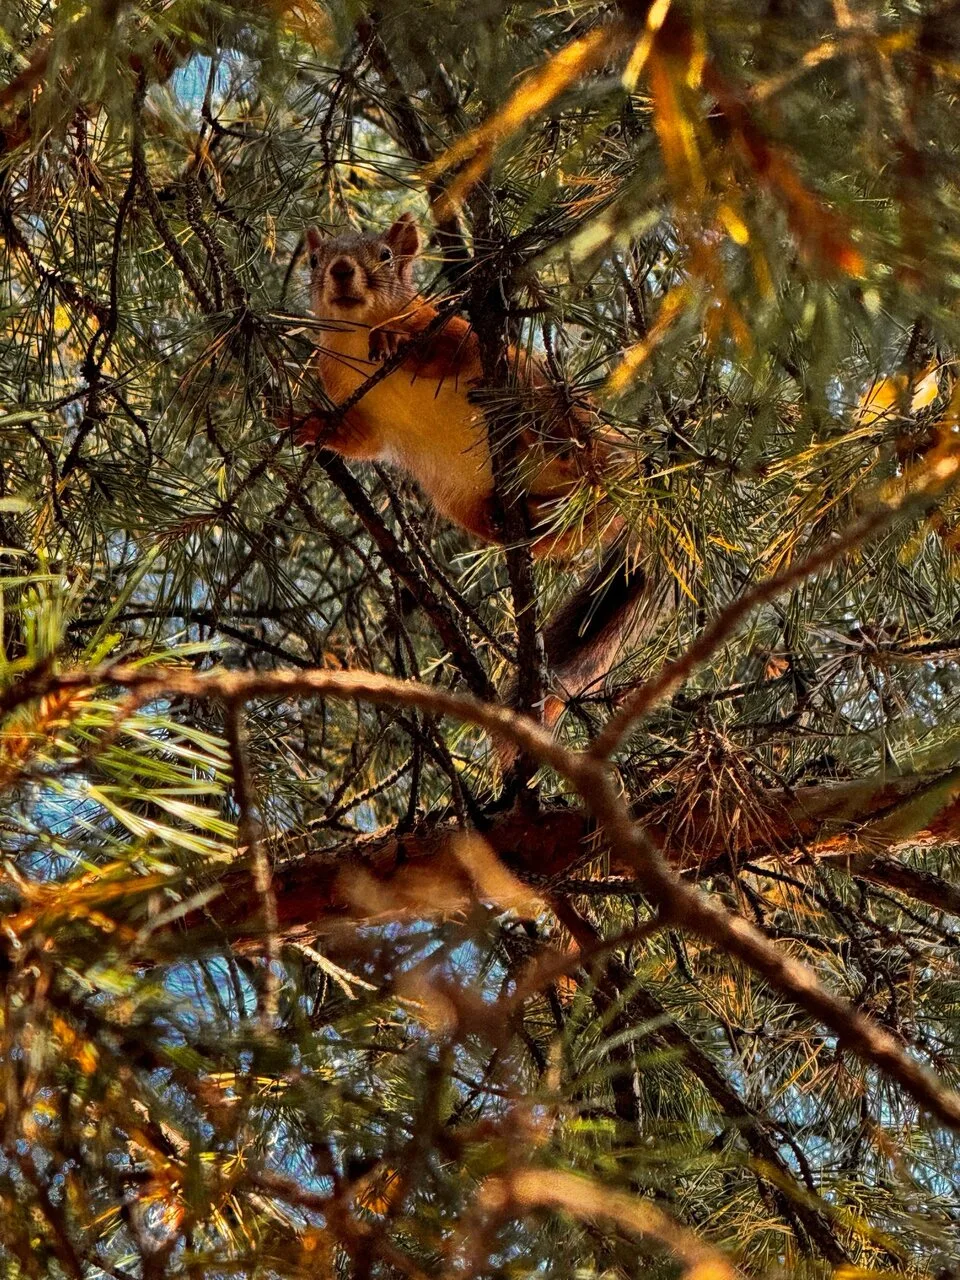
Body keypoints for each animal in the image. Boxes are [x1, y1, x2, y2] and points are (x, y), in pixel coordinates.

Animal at [293, 213, 656, 721]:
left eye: (384, 255)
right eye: (314, 259)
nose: (341, 270)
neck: (356, 331)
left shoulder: (445, 328)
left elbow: (442, 350)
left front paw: (392, 338)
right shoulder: (349, 396)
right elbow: (358, 440)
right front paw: (308, 424)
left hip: (544, 393)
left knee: (579, 455)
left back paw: (546, 440)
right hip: (459, 501)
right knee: (564, 531)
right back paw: (521, 520)